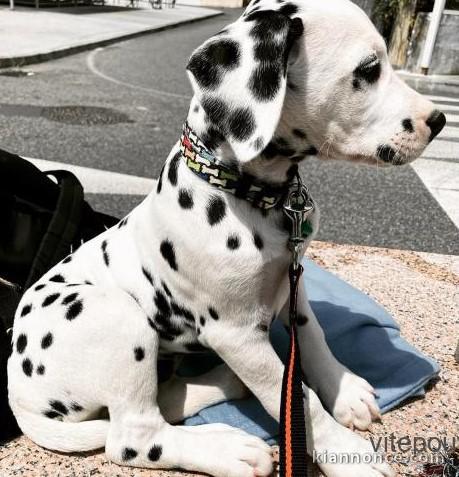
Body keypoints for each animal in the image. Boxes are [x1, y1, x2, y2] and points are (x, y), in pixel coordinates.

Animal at [7, 0, 446, 476]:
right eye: (368, 69)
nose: (440, 120)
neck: (248, 194)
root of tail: (17, 393)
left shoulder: (293, 283)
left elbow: (312, 339)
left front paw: (344, 390)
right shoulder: (236, 334)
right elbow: (298, 401)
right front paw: (348, 456)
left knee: (166, 398)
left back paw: (225, 384)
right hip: (117, 315)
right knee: (132, 437)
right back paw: (228, 448)